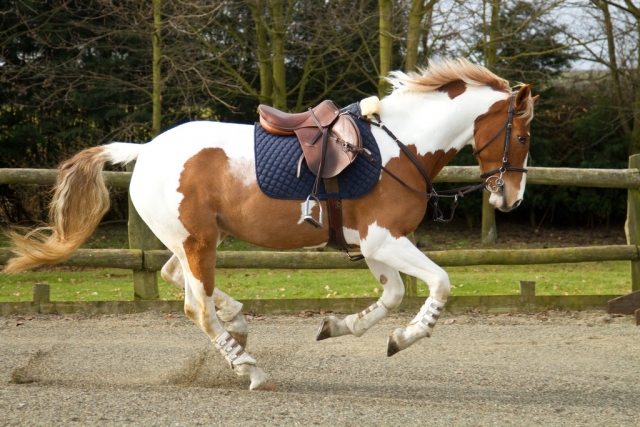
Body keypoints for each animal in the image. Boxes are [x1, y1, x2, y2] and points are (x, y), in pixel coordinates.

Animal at [4, 58, 535, 391]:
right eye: (523, 135)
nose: (510, 198)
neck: (398, 148)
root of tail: (145, 150)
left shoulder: (372, 245)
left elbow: (392, 296)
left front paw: (338, 326)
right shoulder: (385, 239)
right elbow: (439, 283)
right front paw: (404, 338)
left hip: (195, 240)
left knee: (176, 279)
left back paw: (239, 323)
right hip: (199, 242)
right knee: (196, 307)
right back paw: (250, 369)